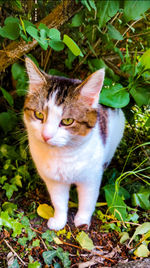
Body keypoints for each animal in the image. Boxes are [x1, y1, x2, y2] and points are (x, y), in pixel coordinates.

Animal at [23, 57, 125, 229]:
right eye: (39, 115)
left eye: (67, 121)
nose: (46, 135)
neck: (63, 155)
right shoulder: (54, 180)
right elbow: (58, 201)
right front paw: (59, 220)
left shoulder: (91, 178)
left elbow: (88, 200)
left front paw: (82, 220)